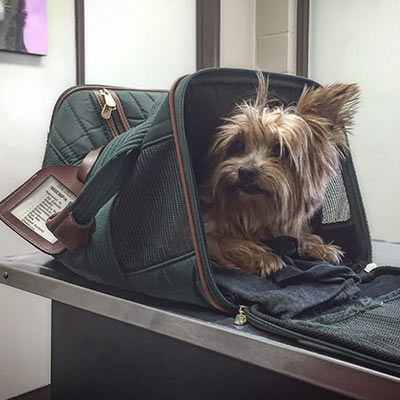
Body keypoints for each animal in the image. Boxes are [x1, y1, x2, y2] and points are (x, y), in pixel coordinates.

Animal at [200, 73, 360, 276]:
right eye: (237, 145)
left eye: (280, 150)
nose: (246, 172)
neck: (251, 210)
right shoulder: (206, 231)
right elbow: (222, 240)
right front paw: (262, 257)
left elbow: (297, 236)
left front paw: (318, 247)